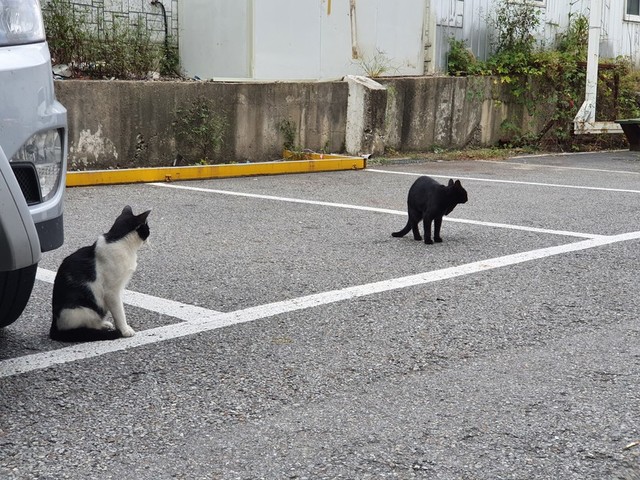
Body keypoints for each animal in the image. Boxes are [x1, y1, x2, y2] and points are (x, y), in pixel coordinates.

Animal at [50, 206, 151, 342]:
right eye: (147, 229)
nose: (150, 236)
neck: (118, 241)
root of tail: (54, 325)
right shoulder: (112, 292)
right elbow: (119, 312)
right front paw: (125, 330)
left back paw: (104, 324)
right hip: (82, 309)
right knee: (81, 328)